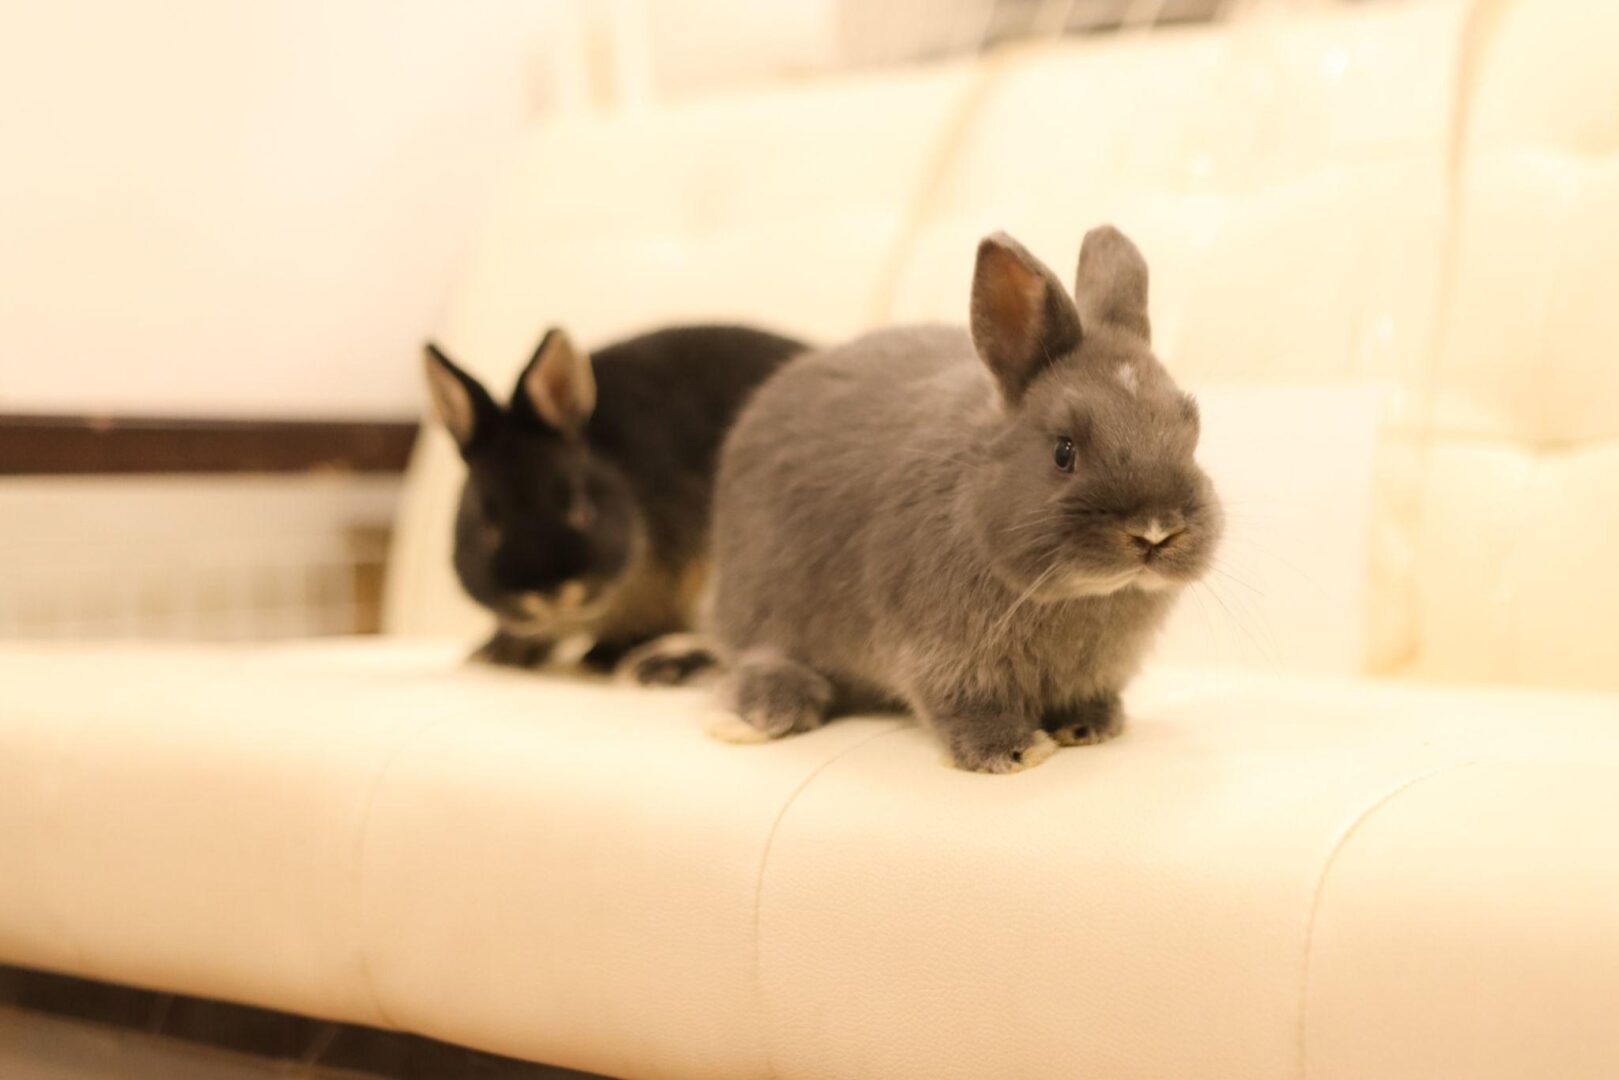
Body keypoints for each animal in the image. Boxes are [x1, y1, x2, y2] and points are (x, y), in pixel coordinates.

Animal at [423, 324, 806, 684]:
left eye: (580, 508)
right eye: (487, 523)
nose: (550, 592)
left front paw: (603, 657)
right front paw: (494, 652)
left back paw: (662, 665)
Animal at [707, 226, 1222, 772]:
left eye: (1191, 435)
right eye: (1064, 452)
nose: (1155, 530)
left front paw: (1092, 726)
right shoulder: (941, 654)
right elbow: (964, 703)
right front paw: (1011, 750)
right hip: (762, 601)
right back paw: (769, 710)